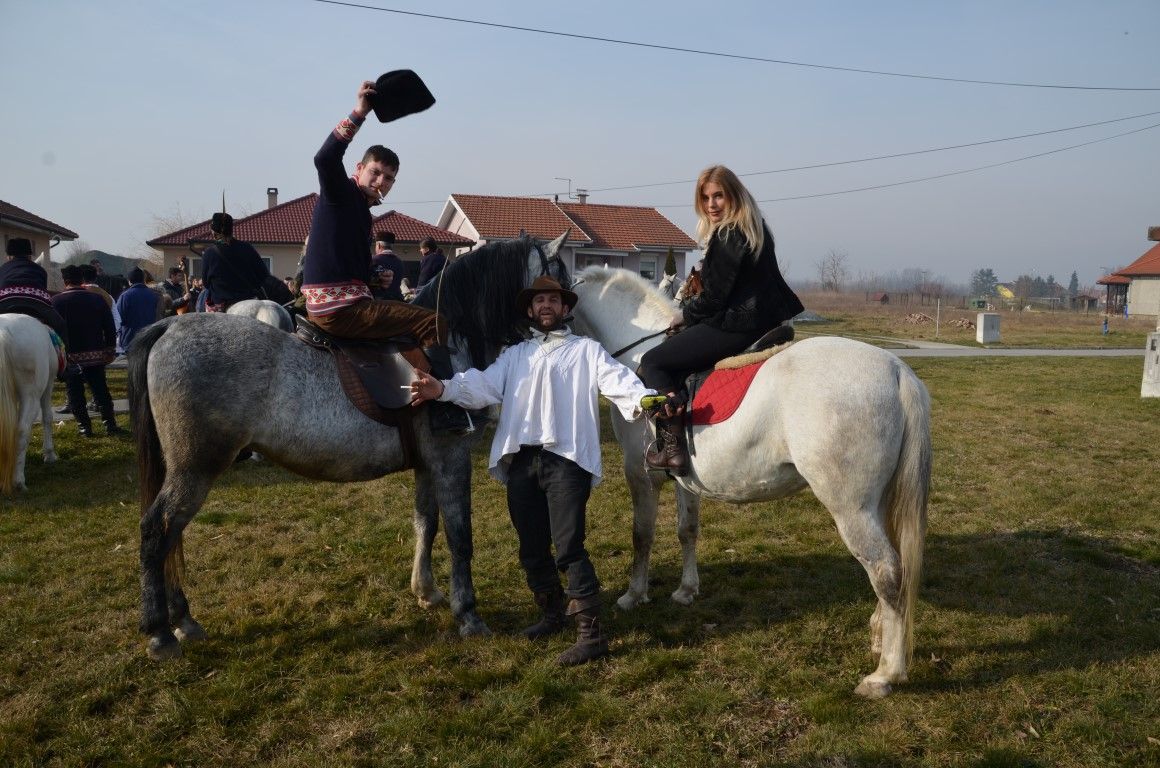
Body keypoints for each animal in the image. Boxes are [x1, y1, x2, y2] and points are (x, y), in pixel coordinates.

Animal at [0, 314, 61, 494]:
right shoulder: (48, 384)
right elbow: (47, 417)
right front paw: (49, 454)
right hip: (31, 394)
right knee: (22, 430)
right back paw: (18, 481)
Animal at [129, 231, 570, 661]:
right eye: (558, 282)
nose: (567, 326)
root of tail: (168, 329)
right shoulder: (451, 459)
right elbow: (459, 535)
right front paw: (469, 616)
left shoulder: (428, 463)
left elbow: (425, 522)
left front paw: (426, 591)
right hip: (196, 468)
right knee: (157, 531)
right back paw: (160, 633)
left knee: (170, 536)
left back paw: (183, 621)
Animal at [569, 267, 931, 699]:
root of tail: (896, 370)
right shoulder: (684, 482)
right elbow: (687, 530)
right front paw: (686, 591)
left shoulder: (641, 476)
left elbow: (642, 536)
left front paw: (633, 595)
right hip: (876, 504)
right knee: (890, 567)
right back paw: (879, 635)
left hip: (852, 509)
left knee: (885, 569)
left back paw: (885, 674)